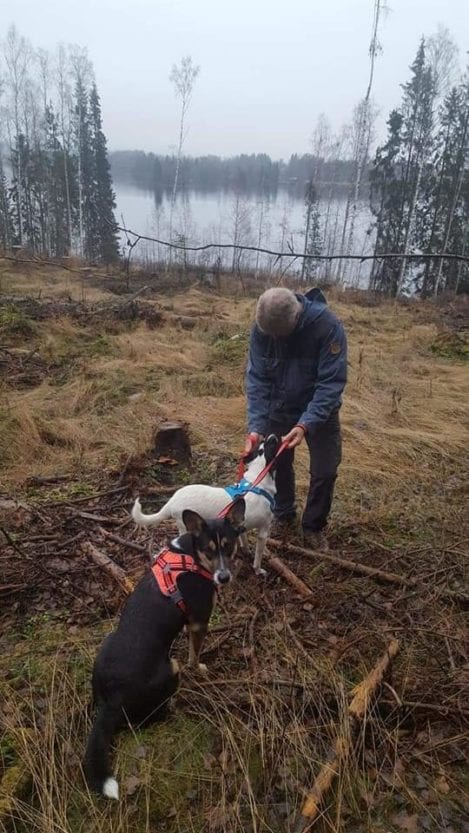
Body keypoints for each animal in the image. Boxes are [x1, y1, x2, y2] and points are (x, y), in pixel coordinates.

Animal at [83, 498, 245, 796]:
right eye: (208, 550)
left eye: (228, 546)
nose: (224, 578)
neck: (190, 555)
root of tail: (110, 701)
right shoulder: (198, 622)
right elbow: (194, 654)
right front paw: (200, 668)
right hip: (171, 667)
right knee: (149, 719)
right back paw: (172, 708)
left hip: (108, 642)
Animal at [130, 432, 280, 576]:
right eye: (269, 445)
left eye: (263, 443)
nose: (273, 435)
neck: (257, 481)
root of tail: (172, 501)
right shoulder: (264, 531)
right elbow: (258, 557)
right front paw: (258, 570)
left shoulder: (241, 525)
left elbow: (244, 539)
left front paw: (246, 550)